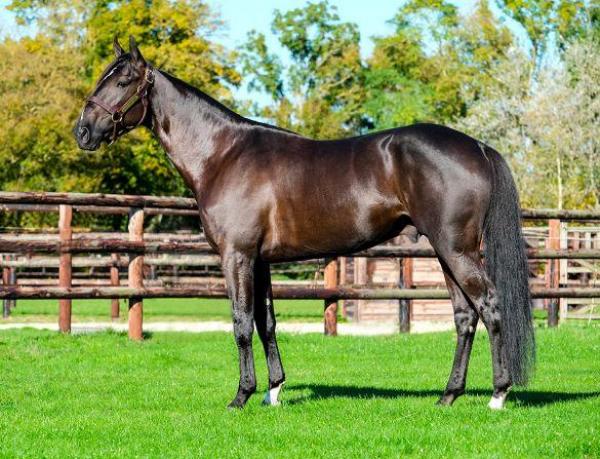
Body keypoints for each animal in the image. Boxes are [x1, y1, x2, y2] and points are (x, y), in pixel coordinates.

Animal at [74, 36, 536, 410]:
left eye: (122, 81)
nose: (83, 132)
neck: (223, 154)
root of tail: (478, 146)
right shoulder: (259, 261)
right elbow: (266, 323)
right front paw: (273, 391)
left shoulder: (236, 257)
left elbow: (241, 323)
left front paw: (241, 396)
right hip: (446, 253)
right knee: (464, 317)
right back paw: (448, 396)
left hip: (456, 251)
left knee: (489, 306)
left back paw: (498, 395)